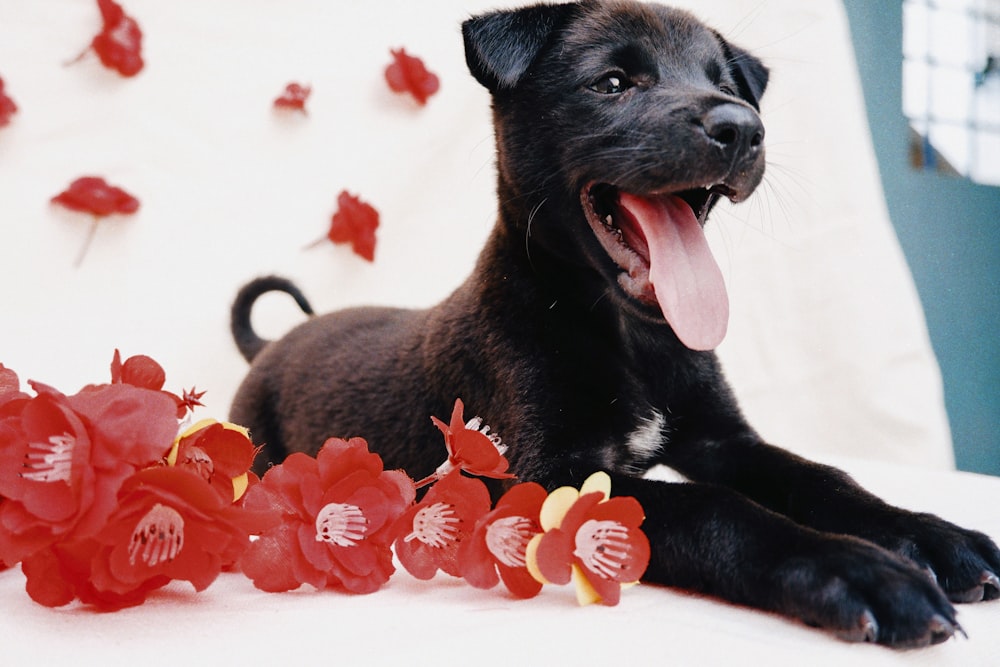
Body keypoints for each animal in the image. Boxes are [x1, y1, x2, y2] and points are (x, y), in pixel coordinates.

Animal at [229, 0, 1000, 648]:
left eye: (728, 84)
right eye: (613, 83)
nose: (743, 128)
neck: (632, 336)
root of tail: (271, 344)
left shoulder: (725, 438)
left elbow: (824, 477)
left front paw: (931, 537)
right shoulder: (547, 477)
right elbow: (717, 508)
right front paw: (858, 573)